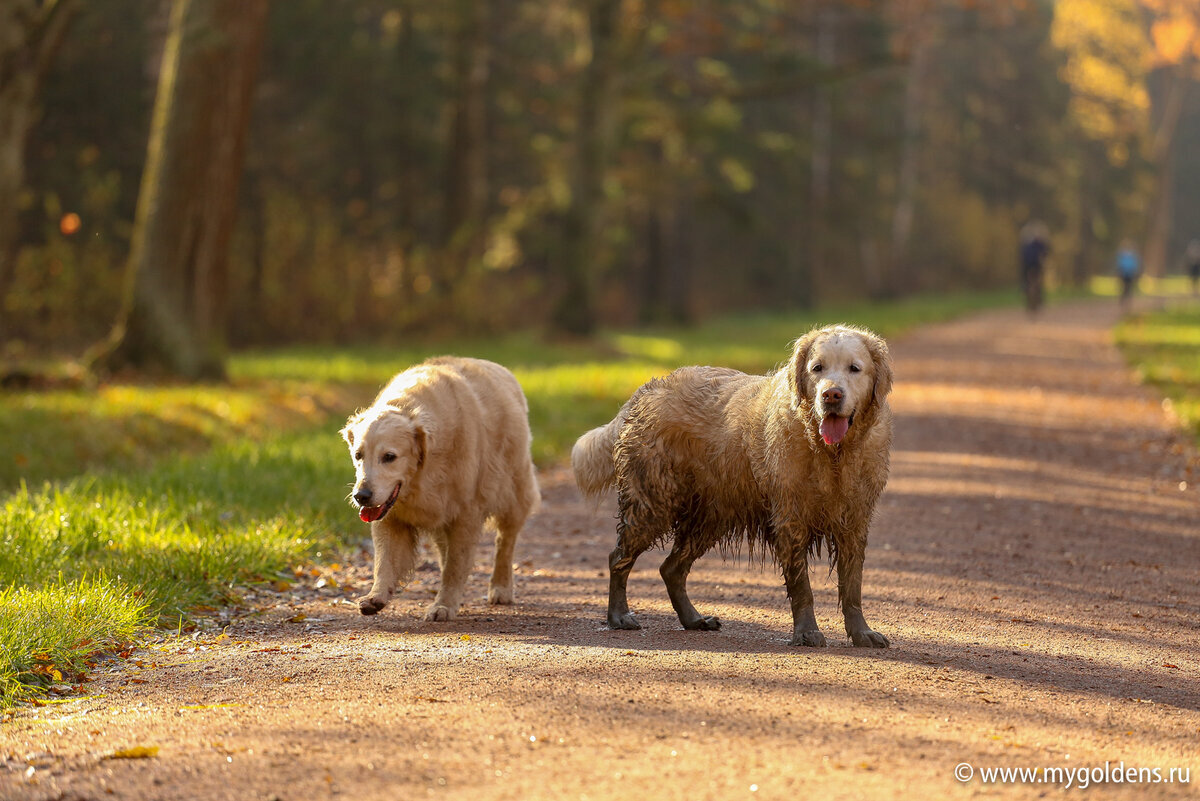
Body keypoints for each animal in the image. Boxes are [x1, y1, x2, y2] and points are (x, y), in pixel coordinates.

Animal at [343, 354, 540, 618]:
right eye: (358, 455)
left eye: (389, 457)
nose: (361, 496)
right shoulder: (391, 515)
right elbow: (385, 561)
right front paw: (376, 596)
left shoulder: (466, 513)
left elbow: (455, 567)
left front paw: (443, 605)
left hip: (514, 492)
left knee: (505, 543)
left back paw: (501, 587)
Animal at [571, 323, 892, 642]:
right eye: (817, 368)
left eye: (854, 368)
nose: (831, 395)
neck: (831, 454)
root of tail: (646, 390)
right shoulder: (790, 519)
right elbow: (802, 587)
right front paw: (807, 632)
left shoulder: (854, 522)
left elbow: (852, 587)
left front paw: (862, 632)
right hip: (652, 505)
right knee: (618, 558)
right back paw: (618, 616)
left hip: (707, 519)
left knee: (671, 569)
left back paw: (693, 619)